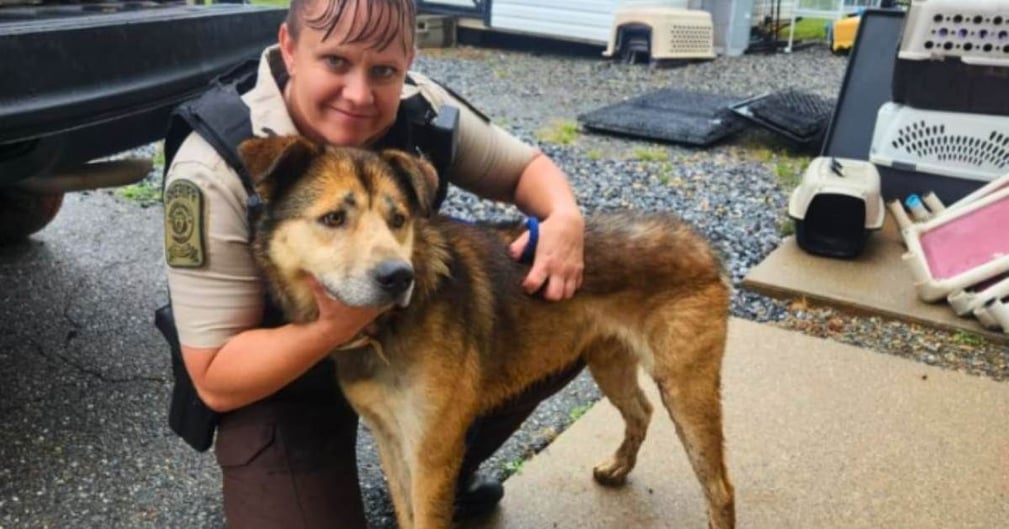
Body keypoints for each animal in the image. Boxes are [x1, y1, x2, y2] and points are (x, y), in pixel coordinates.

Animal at [240, 136, 738, 529]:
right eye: (333, 219)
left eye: (398, 219)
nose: (399, 277)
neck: (385, 332)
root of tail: (702, 243)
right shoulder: (390, 440)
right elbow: (404, 513)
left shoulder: (430, 451)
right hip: (608, 361)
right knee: (640, 410)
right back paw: (618, 468)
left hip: (686, 387)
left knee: (719, 486)